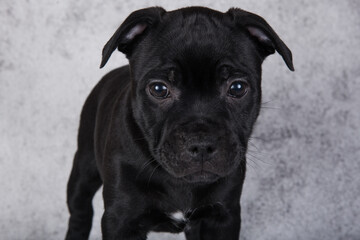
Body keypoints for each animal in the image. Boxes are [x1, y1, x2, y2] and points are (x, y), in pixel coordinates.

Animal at [66, 6, 294, 240]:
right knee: (80, 211)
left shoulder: (222, 217)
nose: (201, 144)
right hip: (84, 170)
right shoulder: (121, 220)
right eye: (159, 89)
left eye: (237, 88)